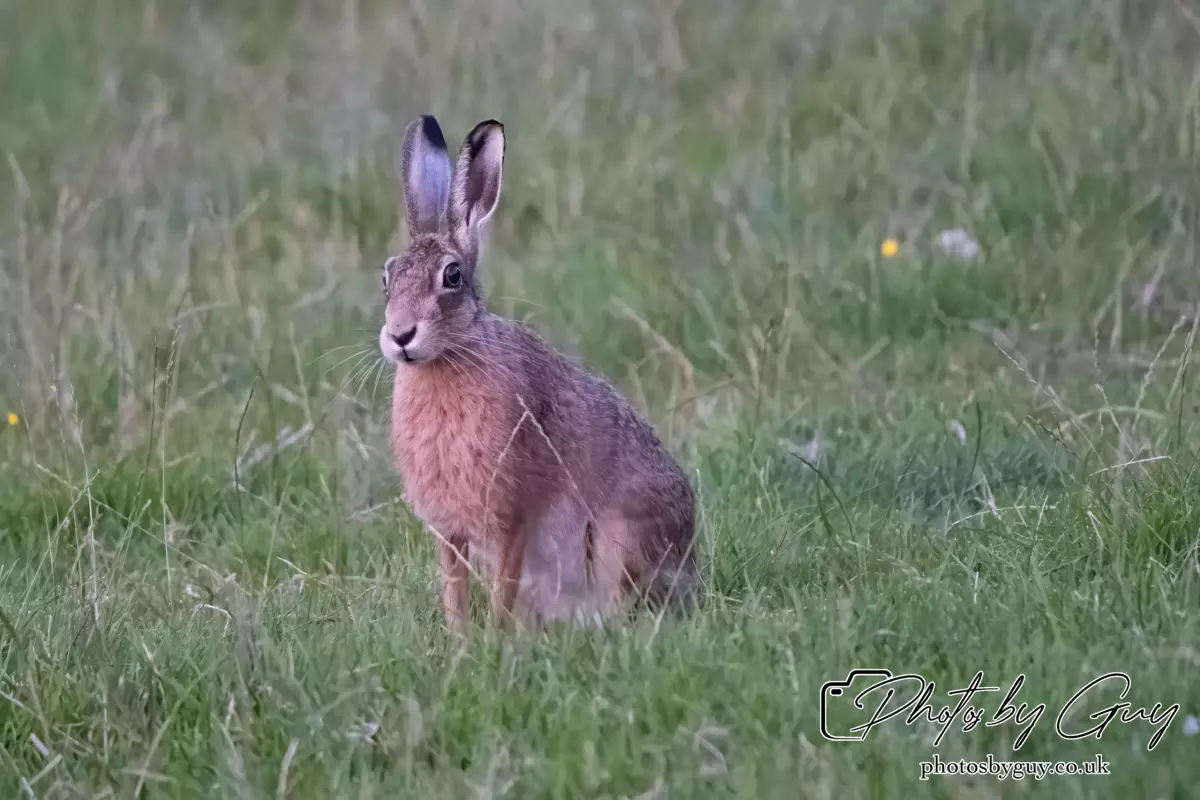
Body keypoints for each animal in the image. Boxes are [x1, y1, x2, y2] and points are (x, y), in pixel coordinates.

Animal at [378, 114, 697, 631]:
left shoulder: (513, 516)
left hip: (619, 540)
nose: (400, 335)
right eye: (386, 279)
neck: (449, 358)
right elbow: (454, 589)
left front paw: (492, 639)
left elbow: (501, 587)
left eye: (452, 276)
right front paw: (459, 640)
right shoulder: (449, 532)